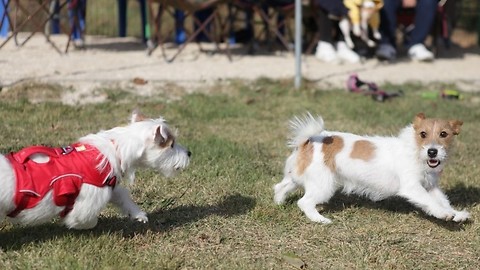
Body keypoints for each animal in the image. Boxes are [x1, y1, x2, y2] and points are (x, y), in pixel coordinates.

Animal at [0, 109, 191, 230]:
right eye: (171, 145)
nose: (189, 153)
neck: (116, 148)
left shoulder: (108, 184)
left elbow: (123, 197)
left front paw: (137, 214)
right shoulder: (89, 200)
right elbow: (83, 219)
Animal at [274, 112, 468, 224]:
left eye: (444, 134)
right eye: (423, 134)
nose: (432, 151)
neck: (414, 150)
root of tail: (309, 140)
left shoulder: (431, 186)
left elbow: (442, 200)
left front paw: (456, 213)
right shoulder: (413, 187)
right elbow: (430, 202)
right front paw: (443, 214)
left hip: (298, 177)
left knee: (280, 187)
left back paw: (279, 204)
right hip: (323, 185)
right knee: (304, 202)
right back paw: (320, 220)